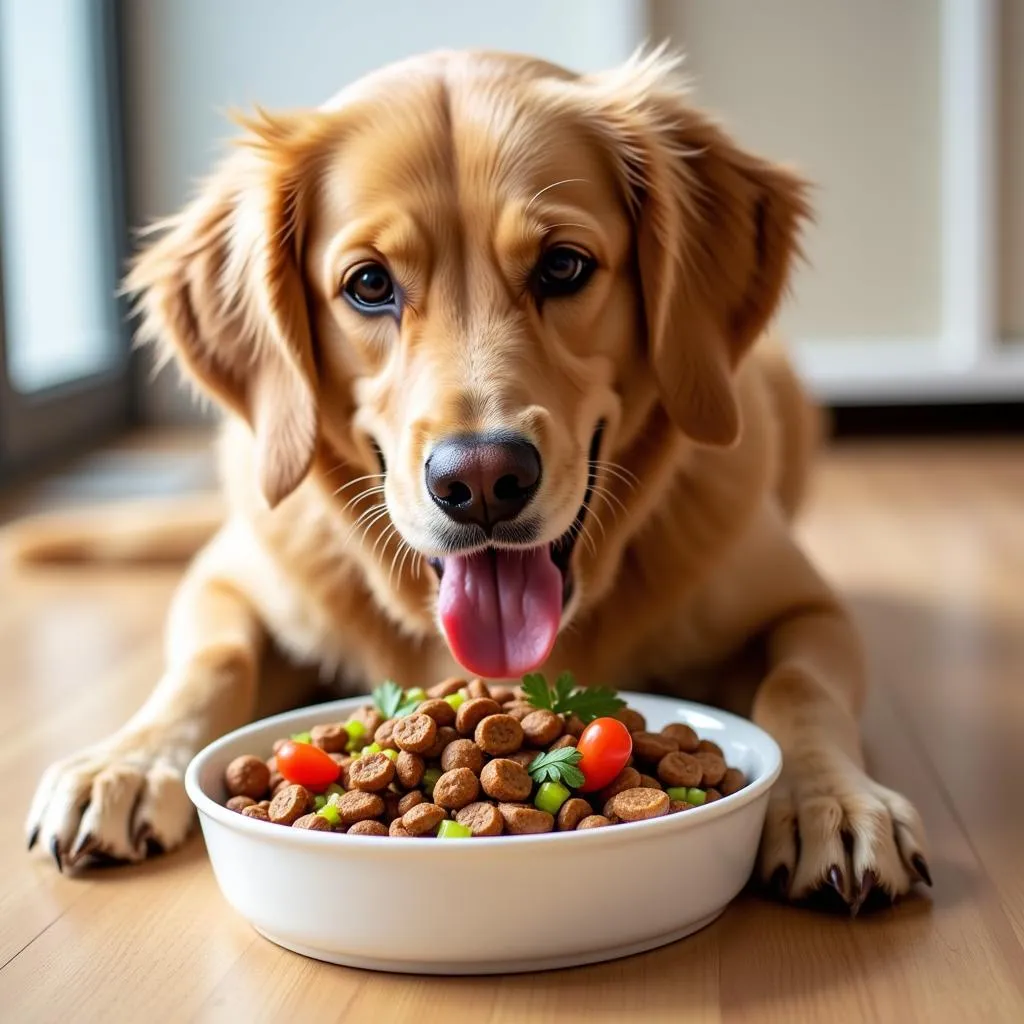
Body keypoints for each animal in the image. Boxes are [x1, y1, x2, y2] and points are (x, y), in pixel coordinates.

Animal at [16, 49, 929, 913]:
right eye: (368, 284)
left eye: (564, 266)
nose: (483, 480)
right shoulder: (227, 580)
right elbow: (210, 662)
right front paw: (126, 762)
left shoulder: (804, 606)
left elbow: (799, 687)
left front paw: (832, 801)